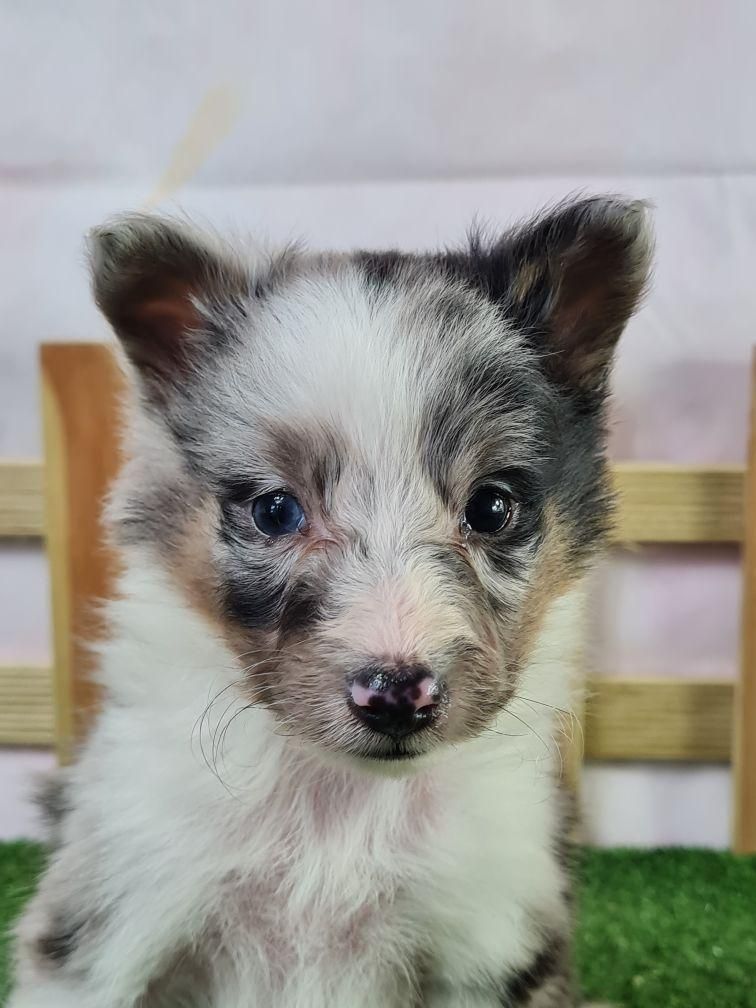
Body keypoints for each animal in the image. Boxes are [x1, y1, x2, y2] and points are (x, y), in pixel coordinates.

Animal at [10, 192, 653, 1003]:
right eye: (276, 511)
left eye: (491, 507)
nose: (398, 696)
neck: (340, 806)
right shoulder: (109, 922)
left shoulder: (488, 940)